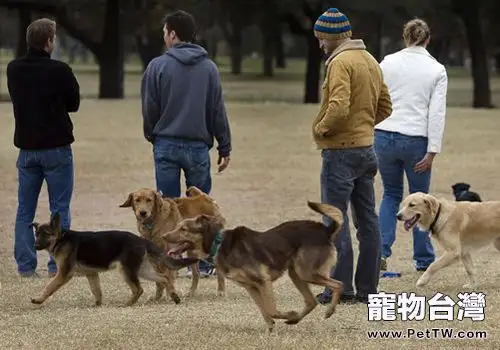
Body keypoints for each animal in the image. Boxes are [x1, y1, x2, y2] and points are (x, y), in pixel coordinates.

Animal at [29, 211, 199, 306]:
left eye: (46, 234)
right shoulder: (92, 274)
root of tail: (140, 240)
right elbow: (96, 290)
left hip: (127, 271)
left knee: (139, 289)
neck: (61, 238)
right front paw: (98, 305)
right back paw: (174, 296)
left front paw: (38, 299)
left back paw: (128, 304)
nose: (35, 245)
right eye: (36, 234)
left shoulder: (63, 274)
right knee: (163, 278)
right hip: (143, 271)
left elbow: (49, 287)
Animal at [162, 201, 346, 332]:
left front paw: (288, 314)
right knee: (311, 301)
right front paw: (272, 328)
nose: (163, 236)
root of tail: (326, 230)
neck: (218, 243)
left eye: (183, 229)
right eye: (177, 226)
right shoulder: (251, 287)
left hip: (306, 273)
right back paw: (294, 320)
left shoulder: (263, 281)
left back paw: (329, 311)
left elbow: (271, 309)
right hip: (296, 273)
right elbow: (266, 312)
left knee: (339, 284)